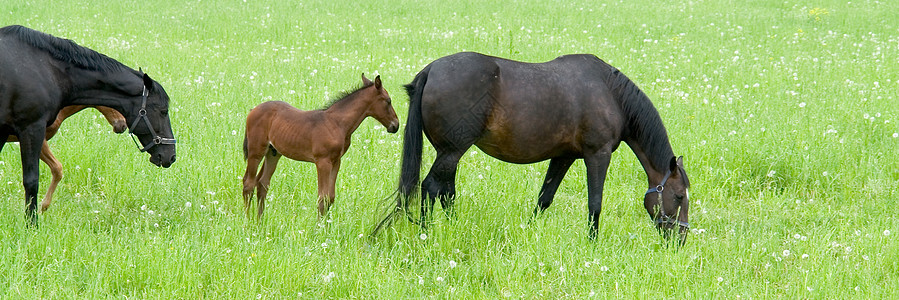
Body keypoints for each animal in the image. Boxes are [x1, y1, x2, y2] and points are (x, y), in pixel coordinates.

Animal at [0, 25, 178, 225]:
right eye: (163, 111)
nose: (170, 156)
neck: (50, 72)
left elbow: (56, 169)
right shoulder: (33, 132)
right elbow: (42, 176)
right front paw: (38, 215)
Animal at [246, 72, 400, 218]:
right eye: (388, 101)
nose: (395, 125)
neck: (337, 123)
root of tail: (253, 110)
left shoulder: (336, 161)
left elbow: (330, 198)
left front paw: (328, 225)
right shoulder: (322, 162)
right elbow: (322, 197)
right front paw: (319, 227)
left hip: (273, 153)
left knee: (262, 183)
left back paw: (260, 221)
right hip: (256, 152)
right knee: (248, 183)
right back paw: (248, 220)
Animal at [376, 51, 692, 244]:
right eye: (678, 196)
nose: (680, 241)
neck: (610, 93)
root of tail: (431, 71)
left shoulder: (564, 157)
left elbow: (544, 198)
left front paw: (529, 231)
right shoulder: (597, 155)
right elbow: (595, 203)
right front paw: (592, 243)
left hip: (450, 153)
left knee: (446, 191)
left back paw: (454, 227)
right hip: (452, 151)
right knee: (431, 188)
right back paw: (426, 233)